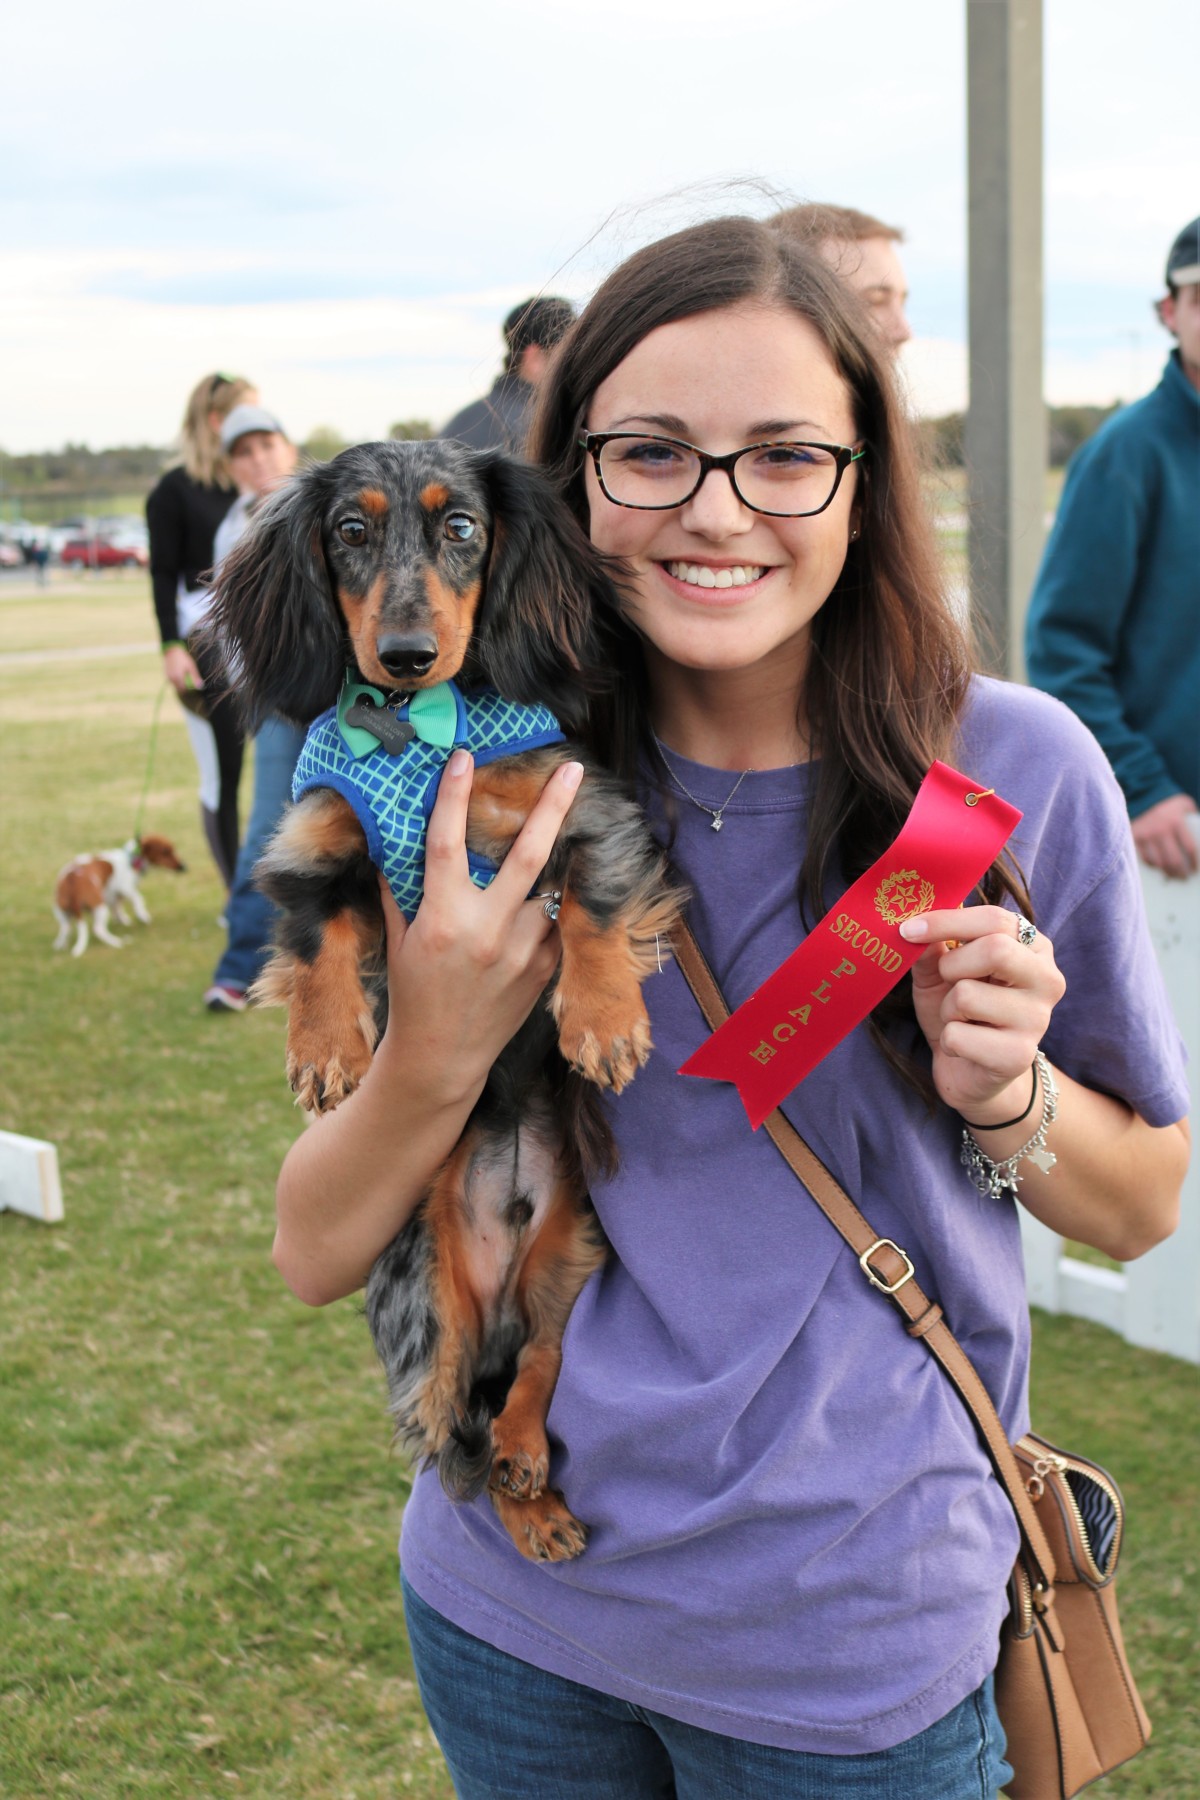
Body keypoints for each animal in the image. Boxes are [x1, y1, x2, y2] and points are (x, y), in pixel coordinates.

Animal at [53, 838, 185, 964]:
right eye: (166, 851)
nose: (183, 867)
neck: (130, 859)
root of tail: (72, 883)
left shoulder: (114, 896)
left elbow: (118, 908)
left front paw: (123, 920)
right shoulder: (125, 888)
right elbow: (138, 899)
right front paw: (142, 915)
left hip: (62, 913)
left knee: (65, 929)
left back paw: (60, 945)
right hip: (101, 908)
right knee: (98, 929)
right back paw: (116, 941)